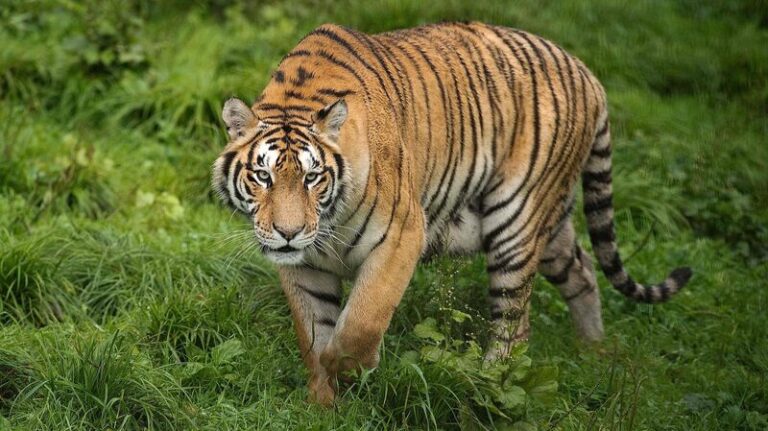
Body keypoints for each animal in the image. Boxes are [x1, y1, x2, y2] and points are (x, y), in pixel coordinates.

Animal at [212, 22, 692, 406]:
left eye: (313, 178)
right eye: (263, 176)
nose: (288, 233)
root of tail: (587, 72)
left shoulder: (402, 235)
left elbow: (362, 321)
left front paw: (346, 368)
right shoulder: (303, 266)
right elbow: (312, 331)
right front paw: (323, 404)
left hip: (516, 221)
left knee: (514, 326)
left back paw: (487, 382)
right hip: (552, 226)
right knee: (584, 269)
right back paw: (592, 350)